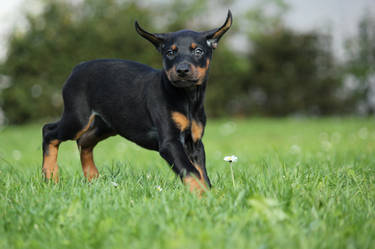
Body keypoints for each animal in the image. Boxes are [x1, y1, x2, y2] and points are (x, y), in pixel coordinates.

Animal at [42, 10, 234, 195]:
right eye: (170, 53)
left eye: (198, 51)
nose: (182, 70)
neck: (187, 98)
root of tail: (78, 67)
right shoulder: (170, 143)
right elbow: (191, 171)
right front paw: (203, 196)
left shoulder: (195, 143)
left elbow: (202, 173)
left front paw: (211, 195)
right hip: (78, 118)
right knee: (49, 131)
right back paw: (50, 176)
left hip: (106, 124)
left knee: (84, 142)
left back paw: (92, 177)